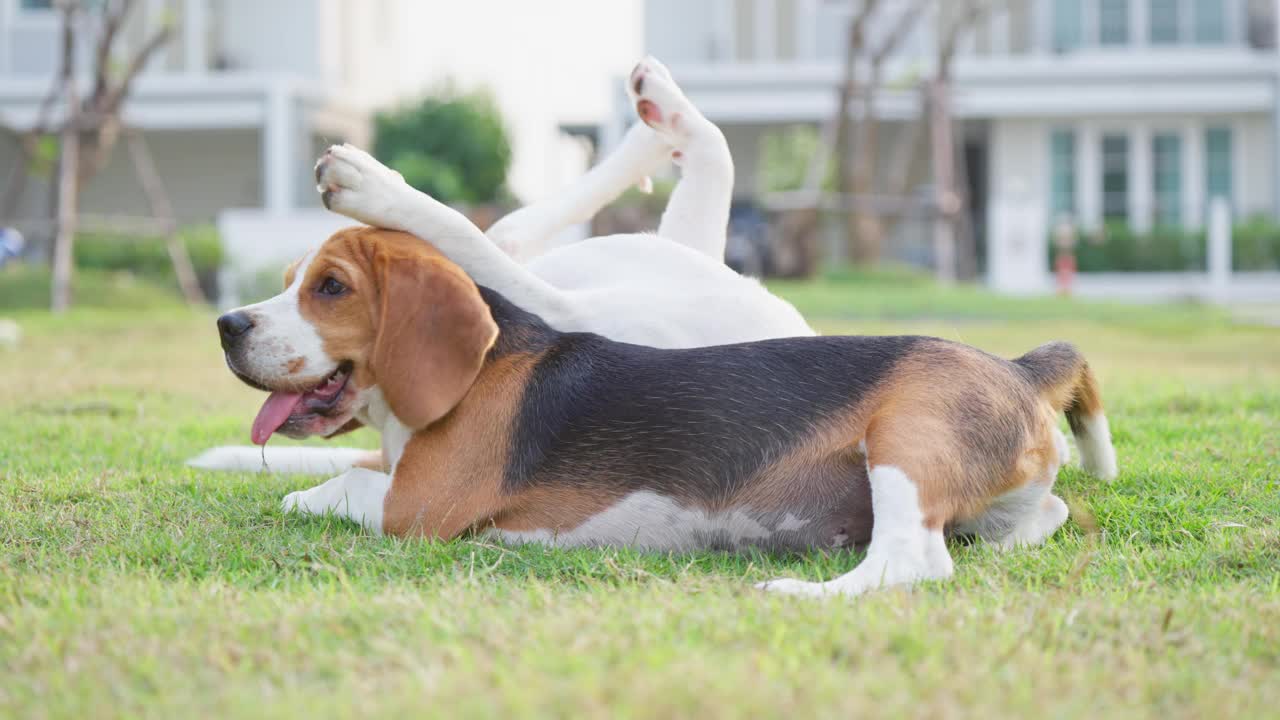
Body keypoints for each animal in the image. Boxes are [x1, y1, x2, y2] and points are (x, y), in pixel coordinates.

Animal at [215, 226, 1116, 597]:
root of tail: (1017, 368)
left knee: (912, 562)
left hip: (906, 434)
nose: (228, 324)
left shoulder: (417, 506)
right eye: (291, 281)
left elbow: (331, 490)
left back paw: (800, 592)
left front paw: (303, 493)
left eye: (331, 287)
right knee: (1038, 518)